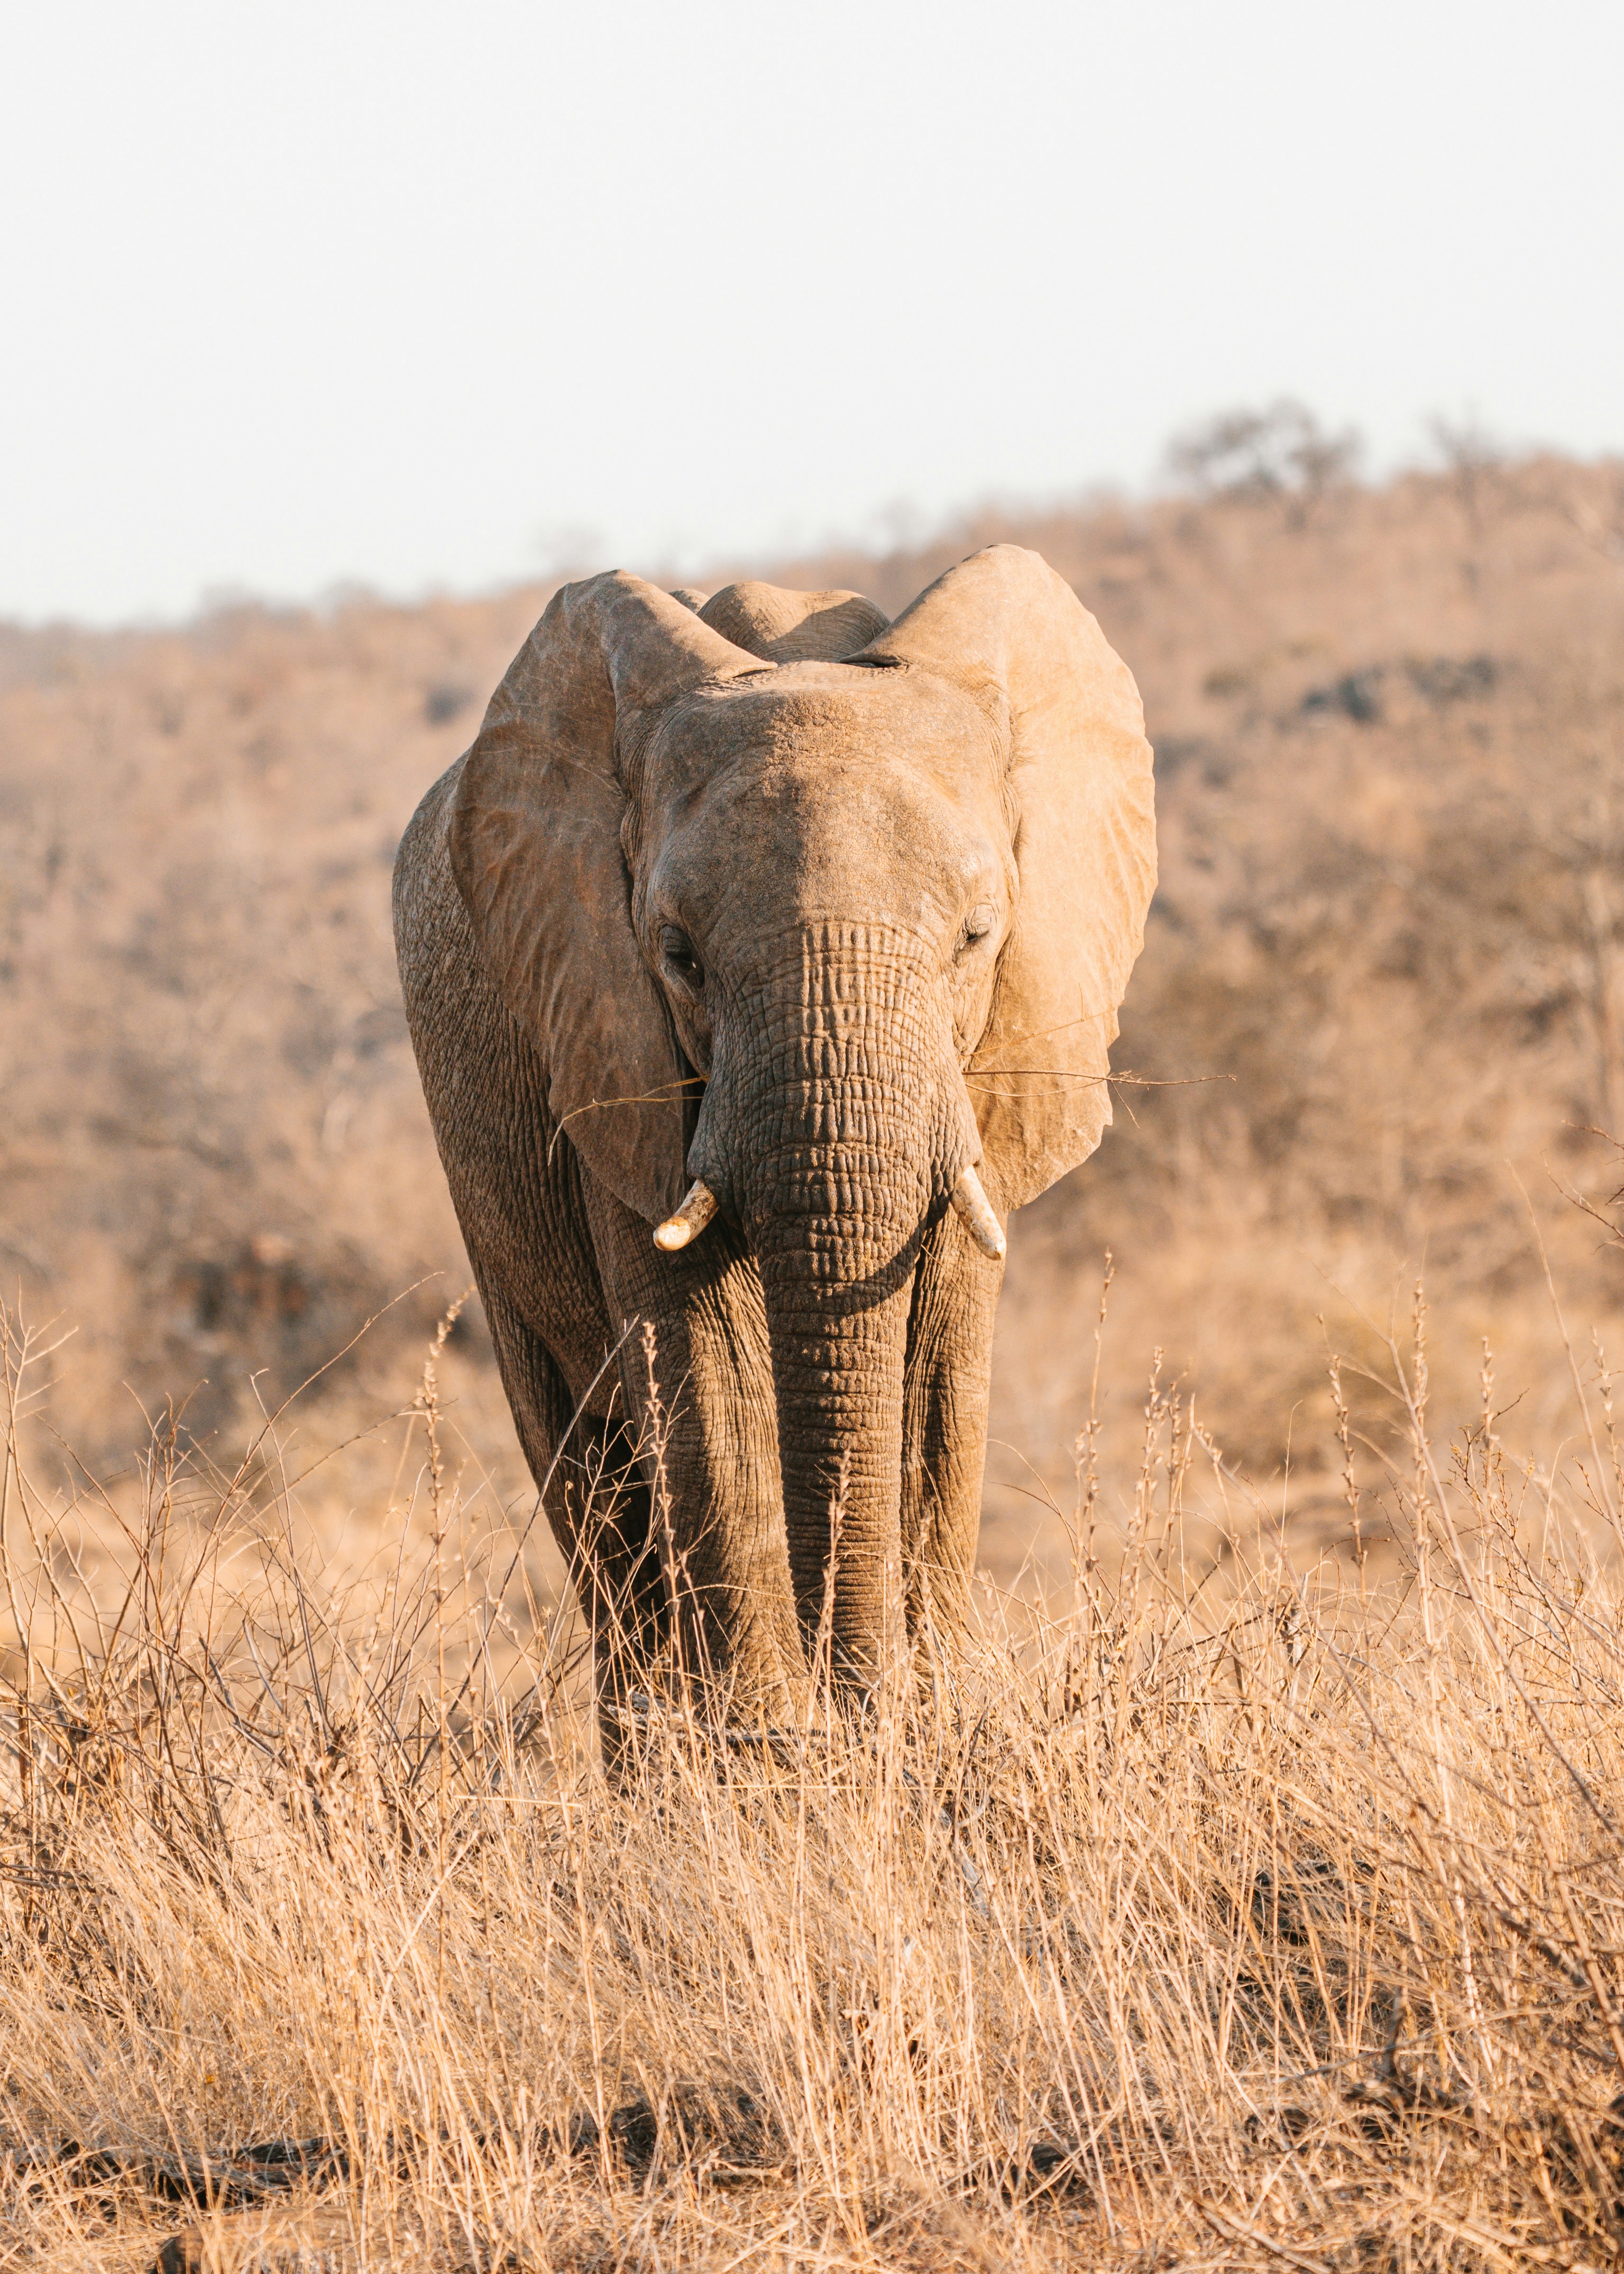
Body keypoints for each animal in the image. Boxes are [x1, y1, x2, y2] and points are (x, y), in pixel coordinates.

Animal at [392, 544, 1155, 1743]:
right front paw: (768, 1746)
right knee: (586, 1468)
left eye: (975, 937)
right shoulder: (609, 1038)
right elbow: (701, 1355)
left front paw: (924, 1723)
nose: (853, 1704)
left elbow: (936, 1367)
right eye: (677, 954)